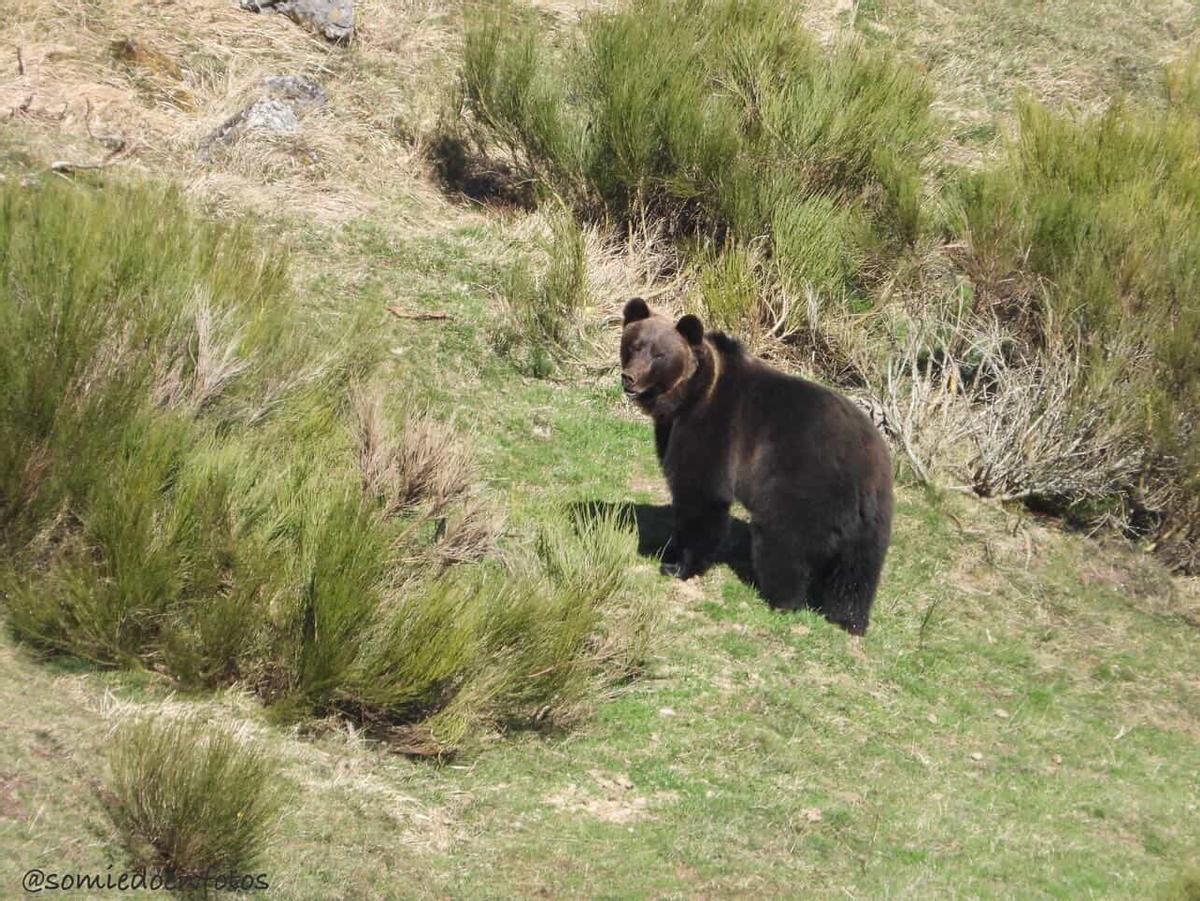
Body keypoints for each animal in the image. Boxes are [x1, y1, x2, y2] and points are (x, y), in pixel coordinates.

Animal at [619, 297, 893, 635]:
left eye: (659, 354)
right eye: (633, 344)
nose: (630, 377)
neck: (688, 396)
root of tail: (865, 467)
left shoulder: (714, 429)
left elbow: (701, 495)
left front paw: (677, 564)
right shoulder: (672, 427)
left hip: (802, 483)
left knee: (783, 541)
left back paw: (782, 599)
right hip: (875, 515)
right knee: (859, 569)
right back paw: (849, 618)